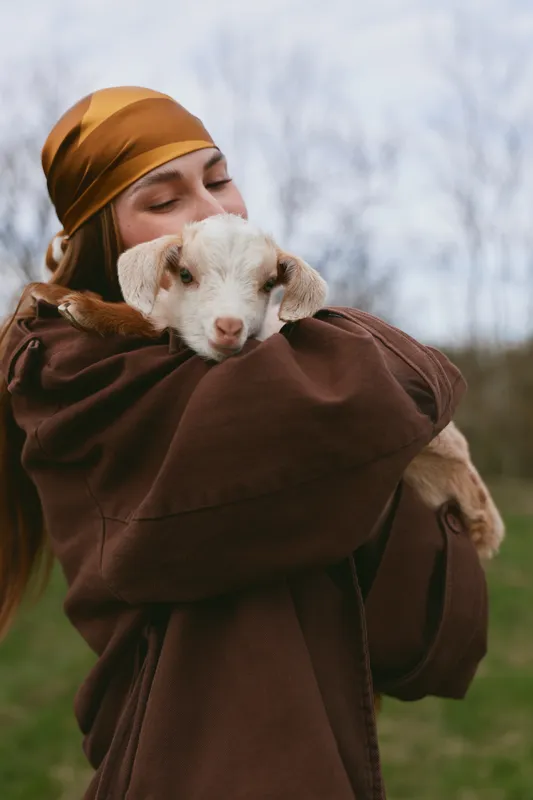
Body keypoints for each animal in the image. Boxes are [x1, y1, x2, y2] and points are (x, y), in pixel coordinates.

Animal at [30, 213, 504, 559]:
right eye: (185, 274)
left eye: (268, 284)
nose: (229, 327)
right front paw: (53, 294)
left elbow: (156, 324)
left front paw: (79, 306)